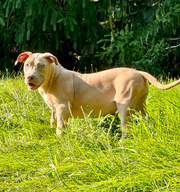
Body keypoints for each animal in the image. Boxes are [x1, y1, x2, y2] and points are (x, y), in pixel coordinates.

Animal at [15, 51, 180, 140]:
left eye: (41, 66)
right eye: (27, 65)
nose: (29, 77)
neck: (52, 78)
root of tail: (139, 72)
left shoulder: (62, 107)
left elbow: (60, 126)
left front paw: (60, 139)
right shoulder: (54, 110)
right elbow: (53, 122)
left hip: (125, 104)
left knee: (127, 127)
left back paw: (121, 143)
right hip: (140, 105)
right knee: (147, 119)